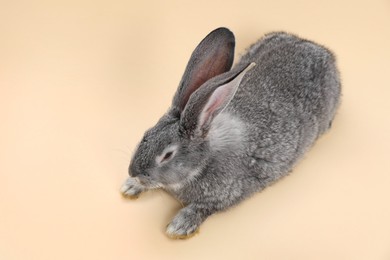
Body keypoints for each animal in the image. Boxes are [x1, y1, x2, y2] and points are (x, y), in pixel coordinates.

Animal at [120, 27, 340, 239]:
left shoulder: (225, 196)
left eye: (167, 155)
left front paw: (179, 226)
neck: (204, 160)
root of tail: (319, 49)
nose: (133, 171)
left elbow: (203, 208)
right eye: (145, 134)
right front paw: (130, 186)